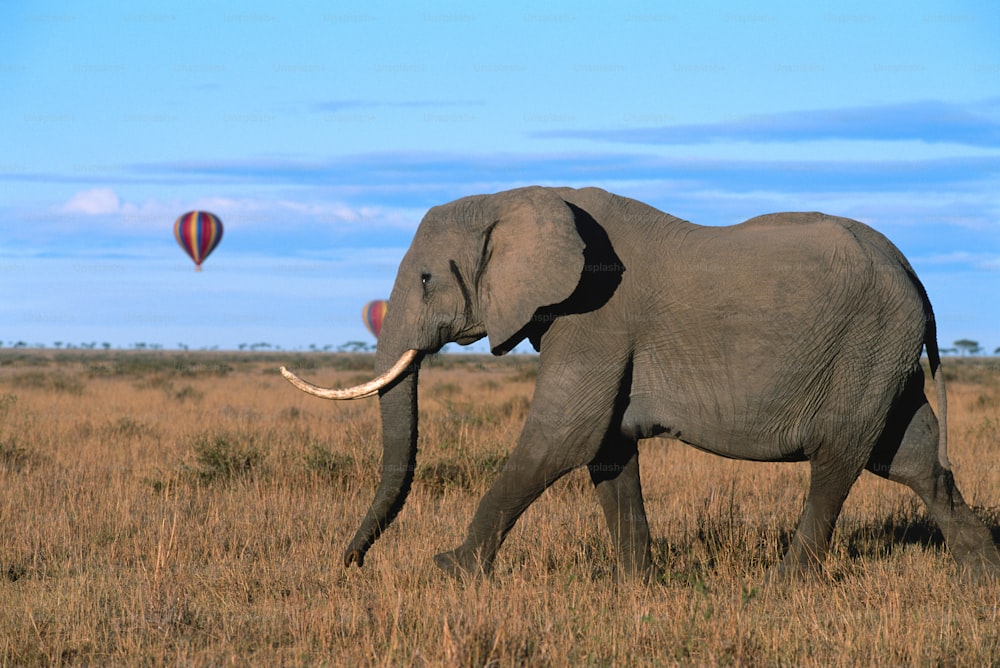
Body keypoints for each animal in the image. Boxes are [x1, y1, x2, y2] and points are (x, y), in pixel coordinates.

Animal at [282, 184, 1000, 580]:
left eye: (428, 277)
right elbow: (605, 447)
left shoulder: (596, 312)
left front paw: (452, 570)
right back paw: (980, 577)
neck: (513, 196)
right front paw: (638, 587)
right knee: (911, 459)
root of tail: (913, 274)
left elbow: (561, 438)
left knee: (839, 459)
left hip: (863, 343)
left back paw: (783, 583)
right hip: (881, 351)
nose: (350, 565)